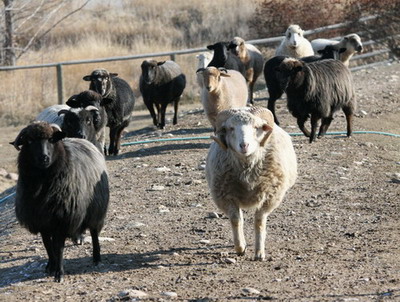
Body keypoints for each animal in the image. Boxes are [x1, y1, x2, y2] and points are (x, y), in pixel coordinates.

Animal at [11, 121, 110, 282]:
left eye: (52, 140)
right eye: (29, 141)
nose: (44, 158)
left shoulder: (62, 220)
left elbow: (59, 248)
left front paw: (59, 272)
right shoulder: (42, 221)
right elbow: (48, 246)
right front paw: (51, 266)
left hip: (96, 209)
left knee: (94, 233)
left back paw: (97, 258)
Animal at [206, 106, 296, 260]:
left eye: (256, 127)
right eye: (230, 128)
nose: (244, 145)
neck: (247, 169)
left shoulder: (270, 196)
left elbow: (259, 221)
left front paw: (259, 252)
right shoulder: (226, 196)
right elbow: (235, 220)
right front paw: (240, 247)